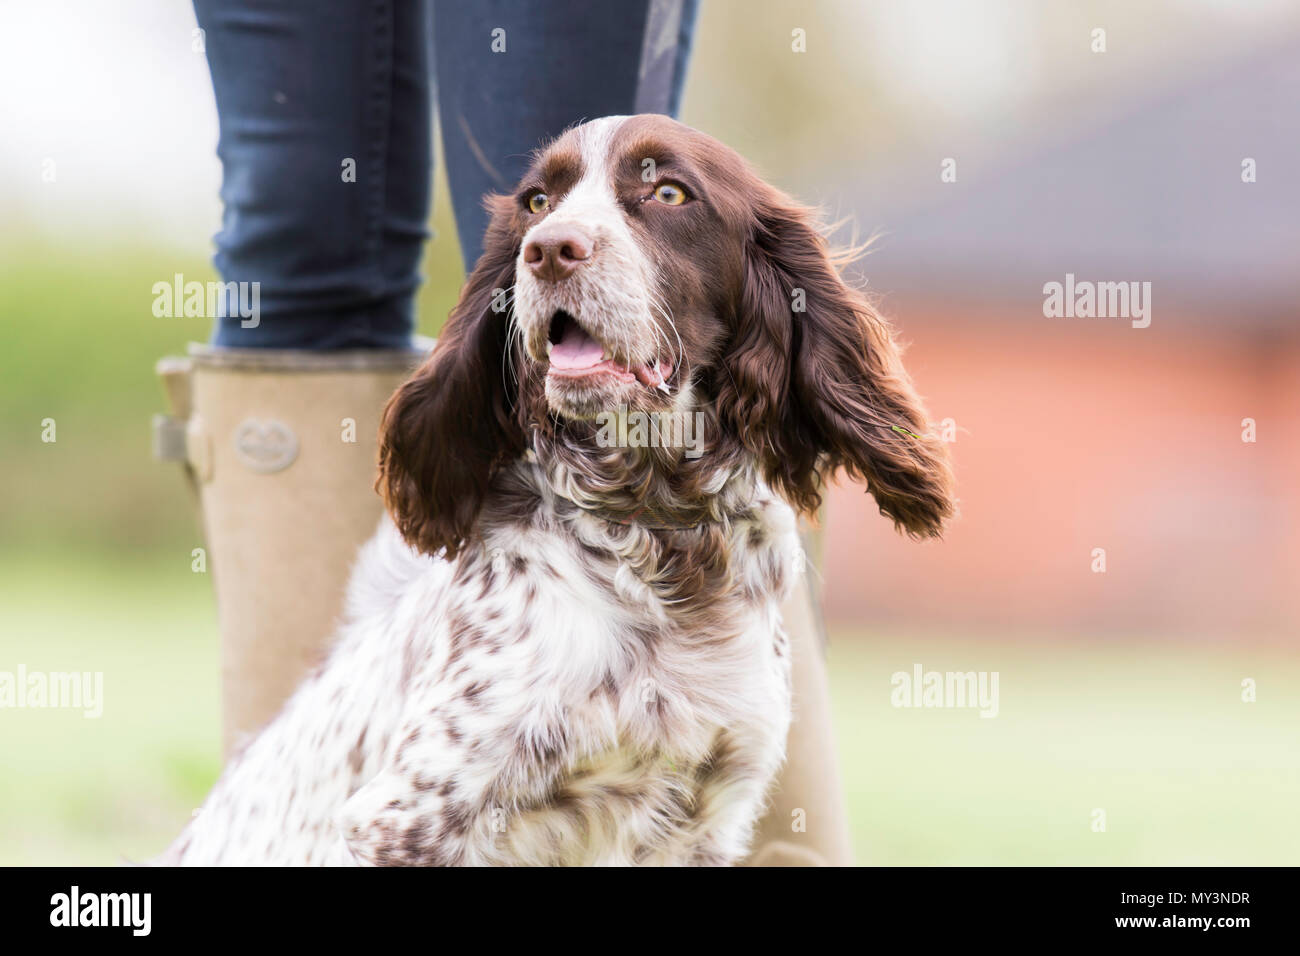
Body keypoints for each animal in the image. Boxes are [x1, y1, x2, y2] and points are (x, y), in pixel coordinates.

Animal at [165, 113, 956, 868]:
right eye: (538, 202)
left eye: (669, 193)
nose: (548, 250)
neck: (663, 532)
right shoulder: (406, 819)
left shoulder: (705, 817)